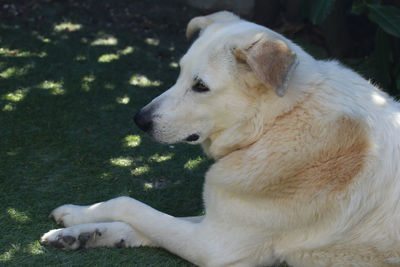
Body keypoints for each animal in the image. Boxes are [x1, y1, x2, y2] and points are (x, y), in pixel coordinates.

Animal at [40, 11, 400, 267]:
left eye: (201, 86)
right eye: (180, 72)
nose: (139, 120)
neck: (277, 122)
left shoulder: (216, 246)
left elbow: (130, 204)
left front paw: (85, 221)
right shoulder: (215, 222)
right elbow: (143, 222)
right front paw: (80, 228)